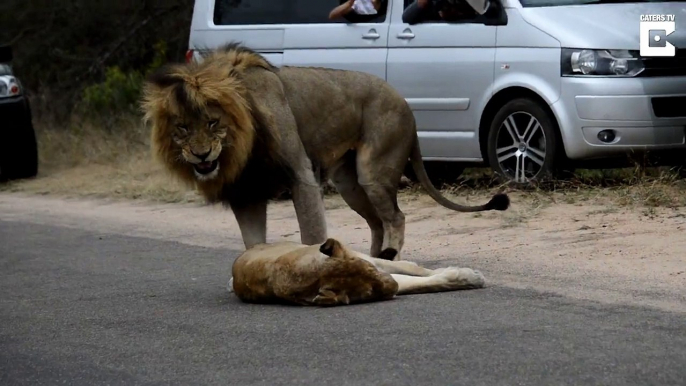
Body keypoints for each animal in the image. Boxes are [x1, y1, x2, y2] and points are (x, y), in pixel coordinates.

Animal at [141, 43, 510, 260]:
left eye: (213, 122)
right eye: (182, 128)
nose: (201, 155)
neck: (240, 147)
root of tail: (407, 103)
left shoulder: (300, 174)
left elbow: (311, 232)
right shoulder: (246, 191)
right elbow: (253, 242)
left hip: (373, 170)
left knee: (395, 218)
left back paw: (388, 258)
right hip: (349, 183)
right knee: (377, 222)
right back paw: (373, 263)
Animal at [228, 237, 486, 306]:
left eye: (371, 271)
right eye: (370, 293)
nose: (392, 290)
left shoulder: (376, 266)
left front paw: (469, 276)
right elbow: (425, 283)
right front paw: (467, 278)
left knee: (410, 266)